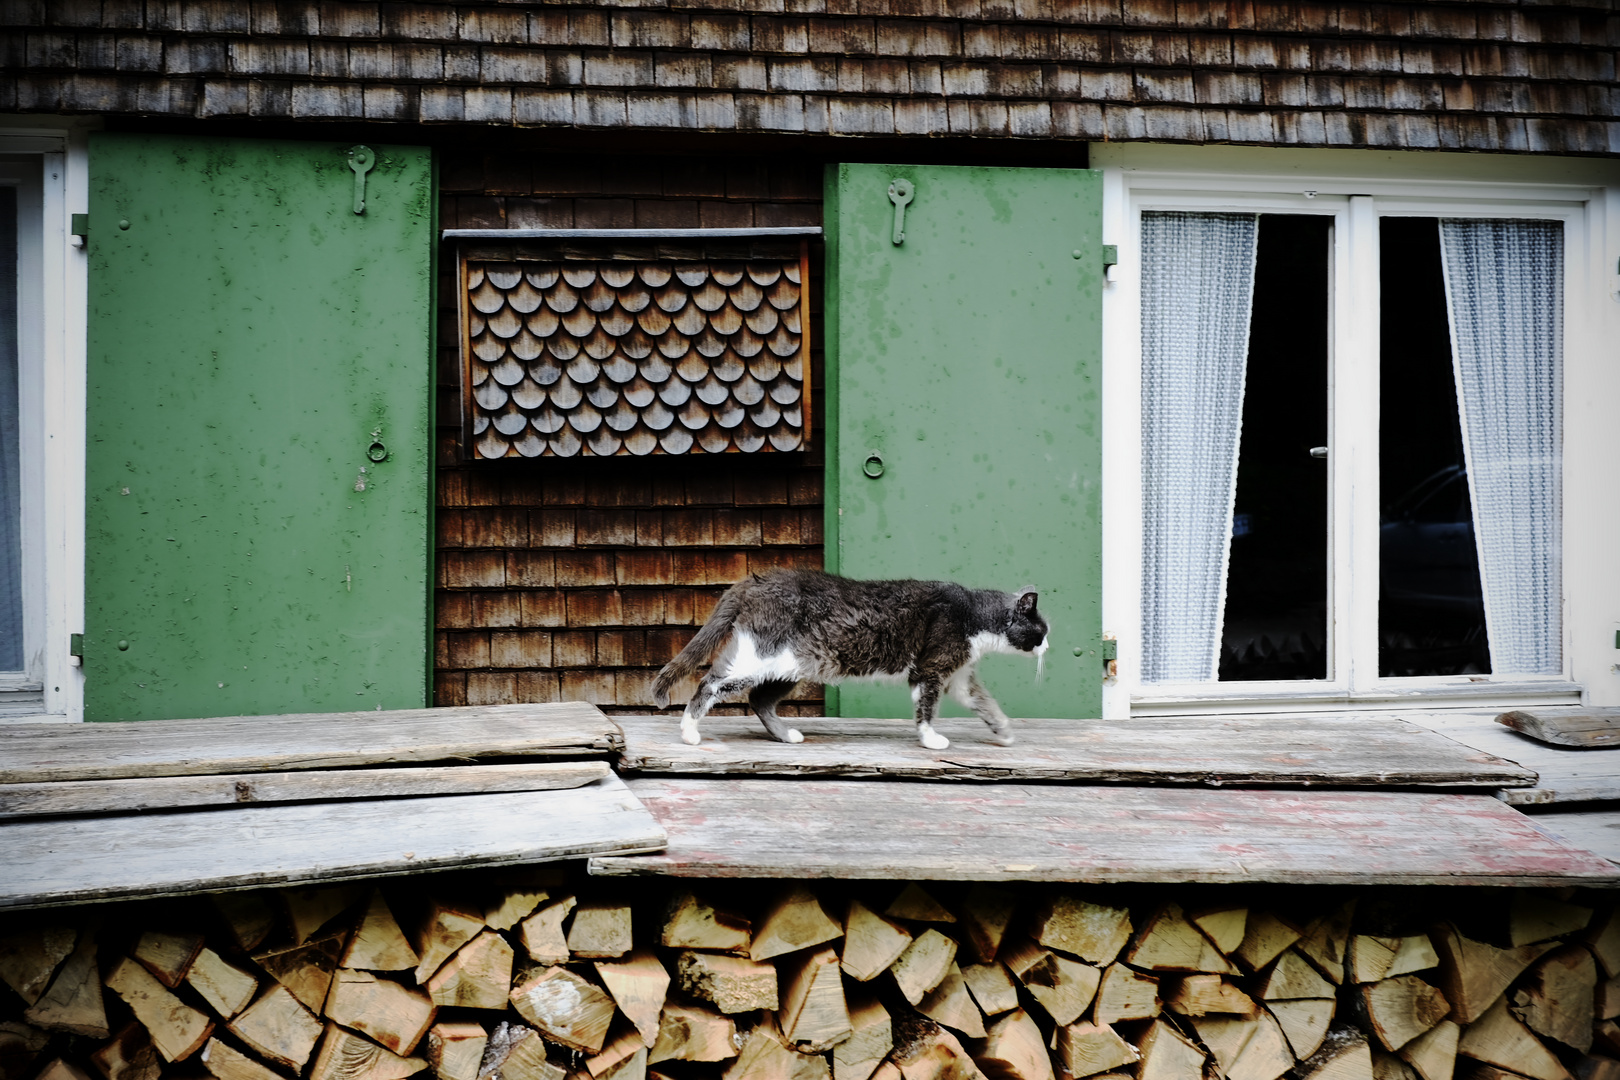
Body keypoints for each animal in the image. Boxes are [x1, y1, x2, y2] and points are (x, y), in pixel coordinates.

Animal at [651, 566, 1056, 751]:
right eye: (1043, 630)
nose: (1049, 647)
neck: (973, 613)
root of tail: (753, 582)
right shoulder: (930, 669)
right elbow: (927, 709)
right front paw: (930, 739)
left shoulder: (958, 675)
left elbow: (984, 702)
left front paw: (1004, 731)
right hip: (761, 656)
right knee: (712, 682)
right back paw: (689, 731)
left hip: (791, 666)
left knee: (759, 699)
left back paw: (786, 735)